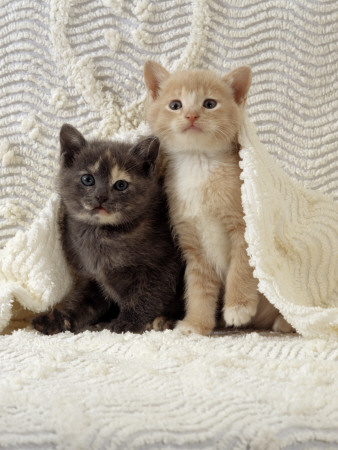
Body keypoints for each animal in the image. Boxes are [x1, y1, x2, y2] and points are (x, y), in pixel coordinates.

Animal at [32, 123, 185, 334]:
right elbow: (82, 303)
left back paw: (165, 321)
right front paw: (58, 320)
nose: (101, 197)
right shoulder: (92, 278)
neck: (103, 233)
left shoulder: (163, 266)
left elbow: (147, 296)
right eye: (88, 179)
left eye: (121, 185)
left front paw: (129, 322)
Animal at [143, 59, 294, 334]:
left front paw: (238, 307)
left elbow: (241, 269)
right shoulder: (193, 243)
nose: (191, 115)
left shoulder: (246, 229)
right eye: (175, 105)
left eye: (209, 104)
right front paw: (195, 324)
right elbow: (199, 289)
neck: (199, 164)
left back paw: (284, 322)